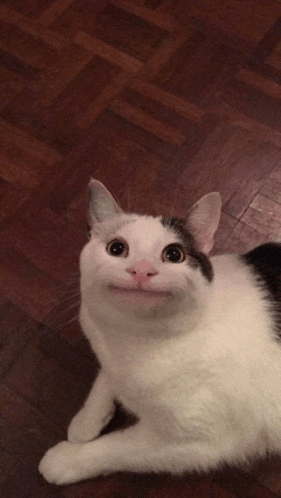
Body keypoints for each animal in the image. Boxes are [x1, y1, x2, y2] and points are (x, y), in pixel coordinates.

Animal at [38, 180, 280, 486]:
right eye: (117, 248)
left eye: (174, 255)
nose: (142, 270)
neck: (137, 340)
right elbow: (105, 378)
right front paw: (86, 421)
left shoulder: (201, 443)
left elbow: (116, 449)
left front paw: (66, 460)